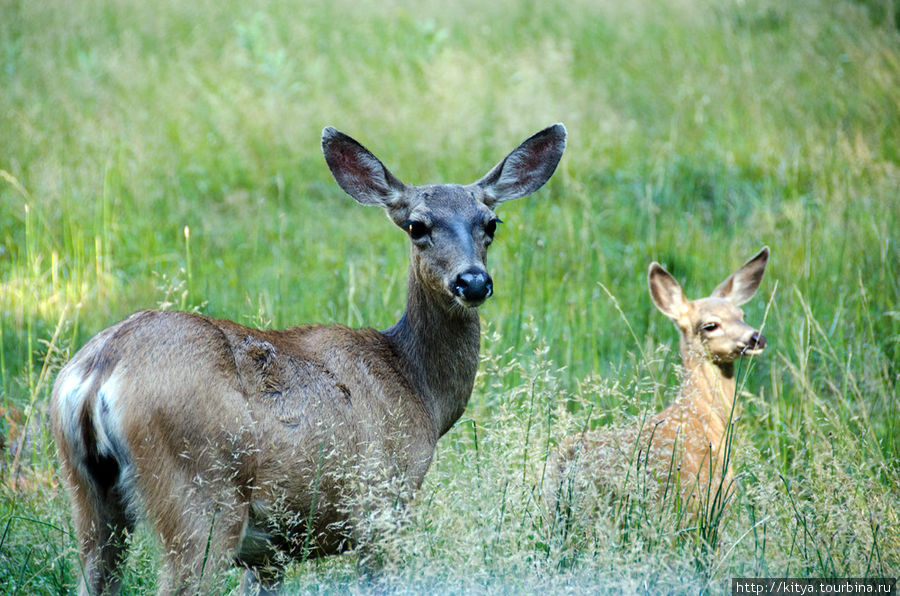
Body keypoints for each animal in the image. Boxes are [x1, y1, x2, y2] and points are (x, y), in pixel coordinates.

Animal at [51, 123, 564, 592]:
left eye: (491, 223)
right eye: (417, 225)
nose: (472, 281)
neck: (420, 391)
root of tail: (98, 372)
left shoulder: (268, 557)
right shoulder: (381, 507)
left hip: (90, 498)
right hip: (201, 497)